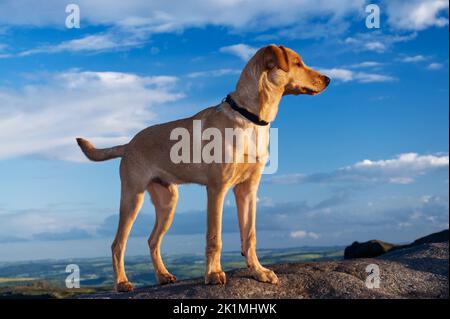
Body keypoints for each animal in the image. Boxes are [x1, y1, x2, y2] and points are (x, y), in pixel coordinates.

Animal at [76, 45, 330, 292]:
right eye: (297, 63)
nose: (328, 79)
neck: (249, 117)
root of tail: (128, 144)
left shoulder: (247, 190)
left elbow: (250, 235)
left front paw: (259, 272)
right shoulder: (217, 189)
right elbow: (214, 237)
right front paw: (214, 274)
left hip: (167, 202)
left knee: (152, 240)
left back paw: (163, 276)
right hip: (132, 198)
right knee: (118, 244)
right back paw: (121, 283)